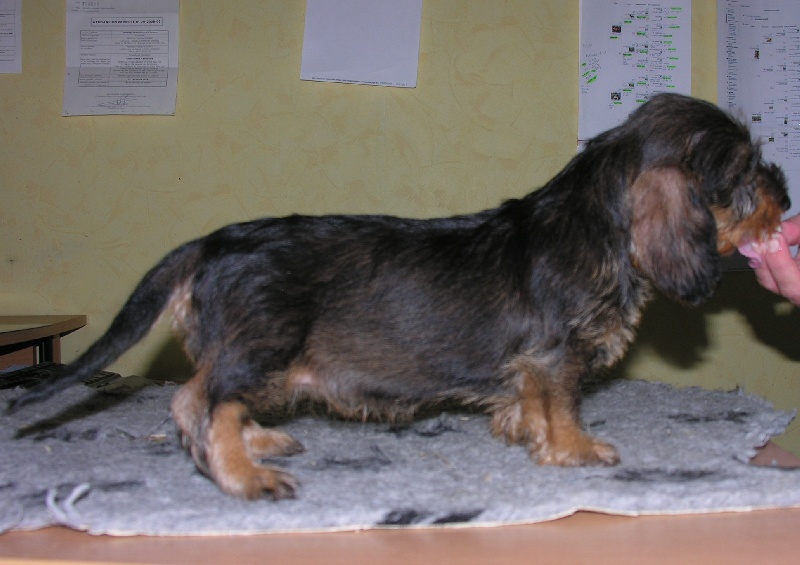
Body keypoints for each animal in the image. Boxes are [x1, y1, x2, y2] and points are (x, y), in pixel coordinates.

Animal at [9, 93, 790, 500]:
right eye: (743, 175)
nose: (785, 198)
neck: (596, 223)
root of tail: (210, 243)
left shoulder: (533, 365)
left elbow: (528, 404)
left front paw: (527, 435)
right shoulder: (555, 357)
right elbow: (562, 405)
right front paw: (577, 449)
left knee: (207, 399)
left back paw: (258, 441)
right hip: (264, 343)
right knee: (198, 401)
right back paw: (245, 474)